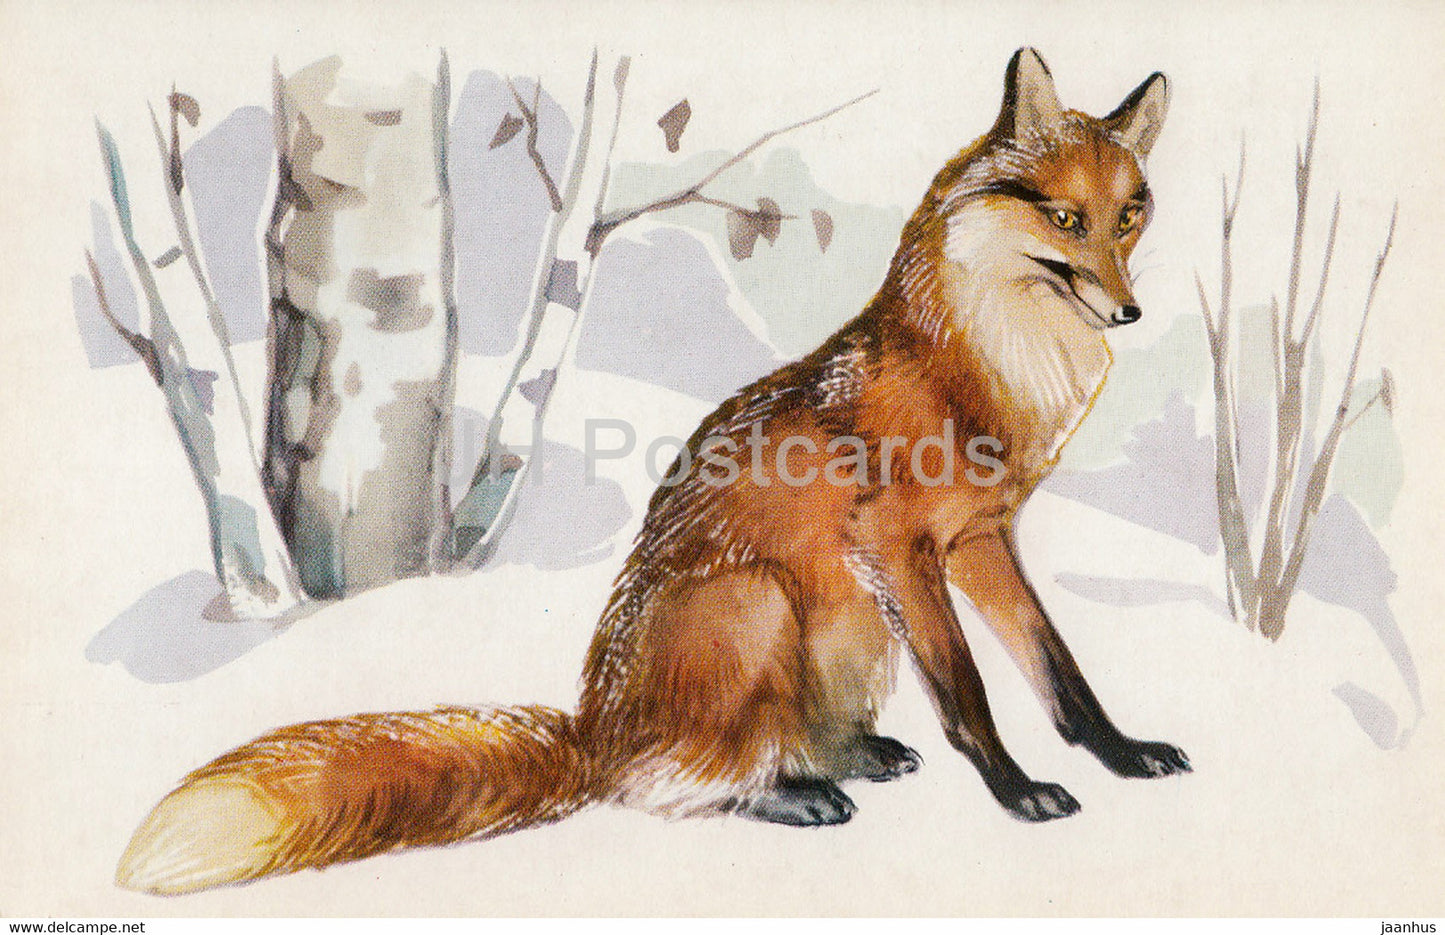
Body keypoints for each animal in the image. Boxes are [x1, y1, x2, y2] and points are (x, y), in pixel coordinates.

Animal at [117, 48, 1187, 896]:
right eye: (1064, 218)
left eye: (1129, 215)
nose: (1129, 312)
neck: (982, 371)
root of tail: (595, 725)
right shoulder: (899, 543)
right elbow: (969, 693)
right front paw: (1017, 791)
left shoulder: (977, 540)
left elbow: (1058, 670)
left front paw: (1120, 754)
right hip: (762, 599)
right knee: (670, 784)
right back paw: (789, 795)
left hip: (851, 625)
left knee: (783, 742)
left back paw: (849, 756)